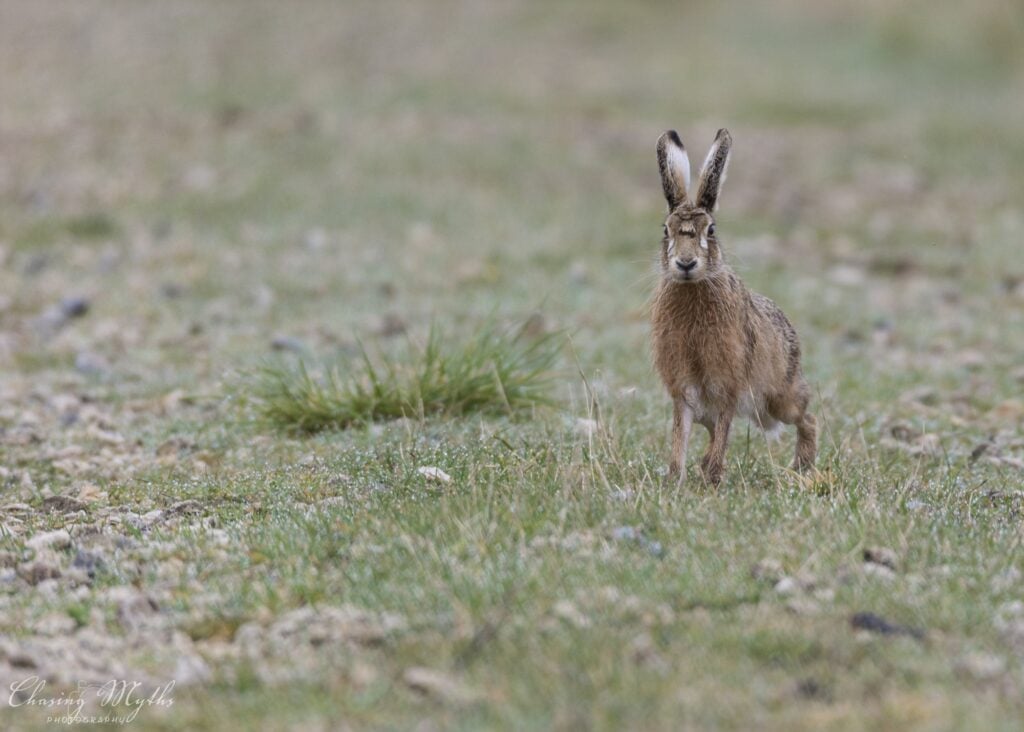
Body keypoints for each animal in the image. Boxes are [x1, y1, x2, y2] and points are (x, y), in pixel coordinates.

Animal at [650, 128, 816, 485]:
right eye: (665, 230)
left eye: (711, 230)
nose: (686, 263)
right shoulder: (684, 391)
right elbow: (680, 436)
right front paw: (675, 479)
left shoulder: (728, 384)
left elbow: (724, 432)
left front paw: (712, 479)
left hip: (779, 398)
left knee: (807, 418)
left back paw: (802, 466)